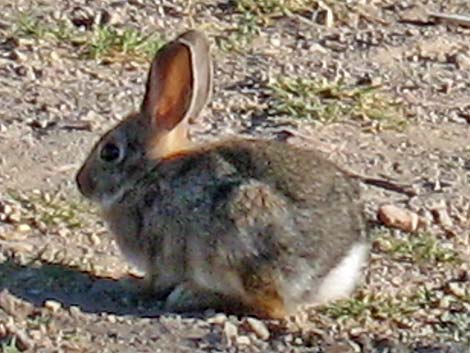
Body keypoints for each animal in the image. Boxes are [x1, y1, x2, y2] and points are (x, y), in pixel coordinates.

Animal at [76, 28, 370, 318]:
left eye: (110, 152)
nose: (81, 183)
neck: (148, 173)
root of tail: (334, 265)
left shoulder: (158, 254)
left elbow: (154, 282)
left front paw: (129, 283)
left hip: (242, 235)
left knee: (269, 307)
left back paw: (193, 295)